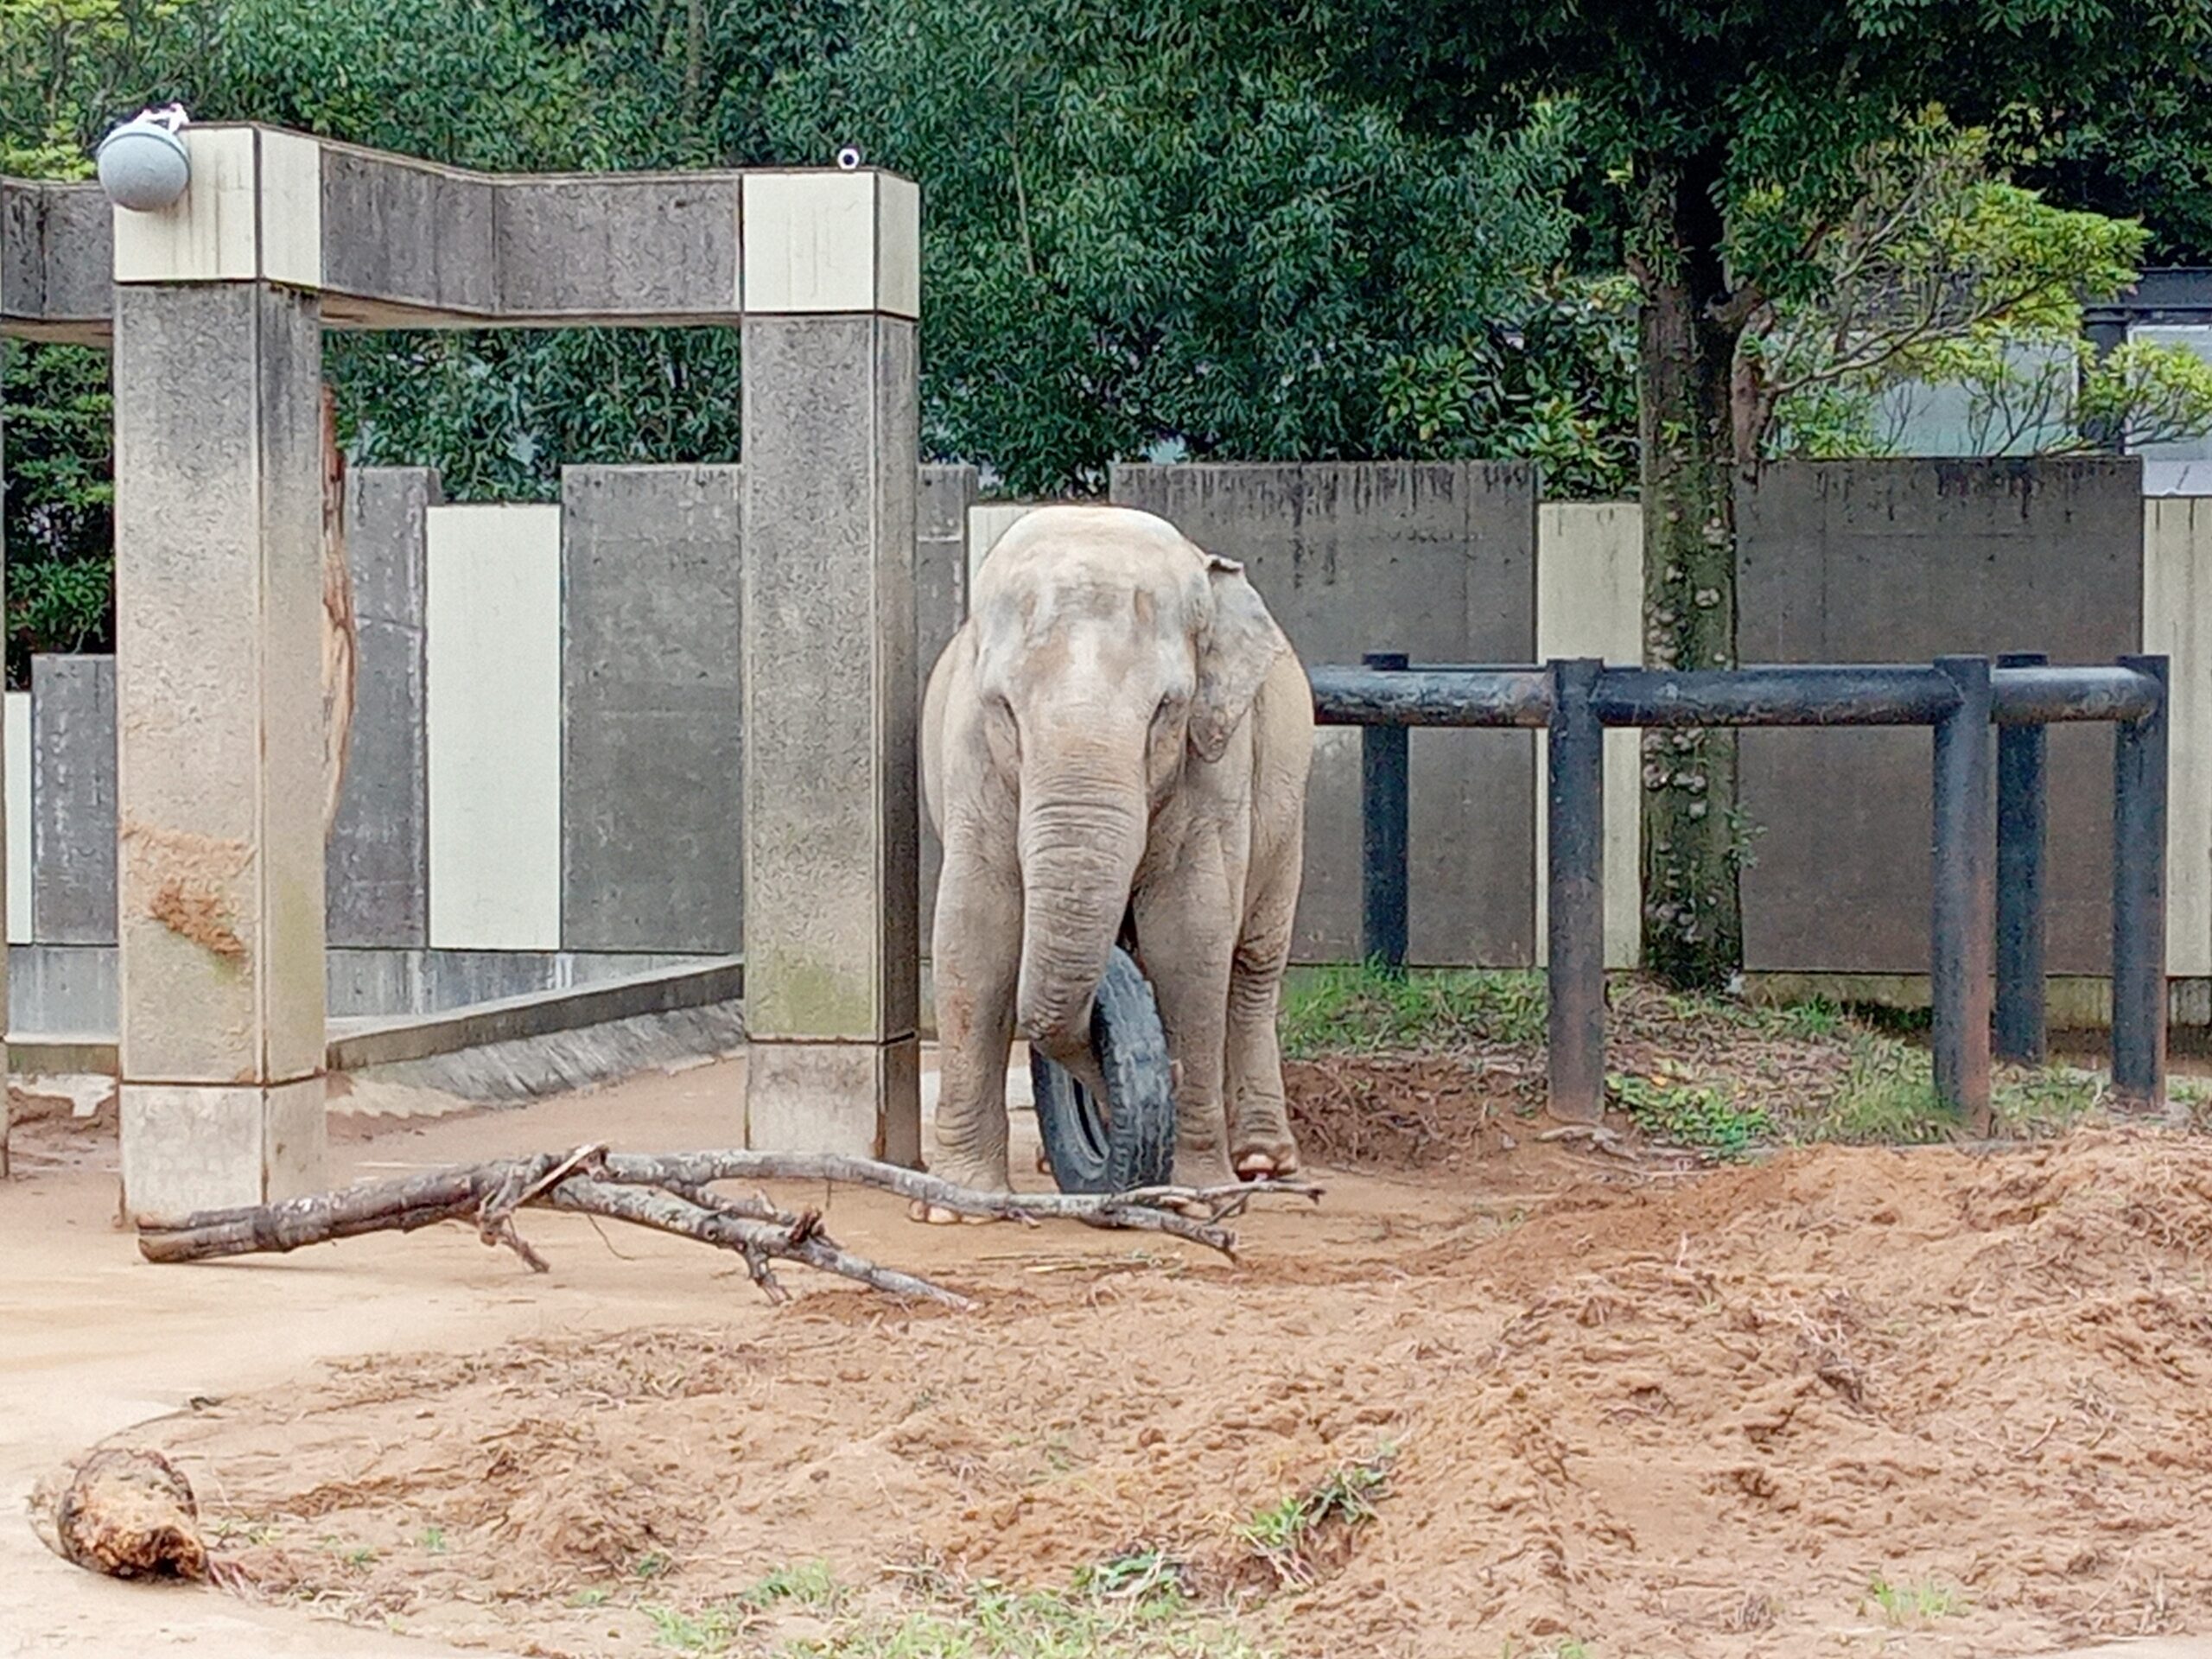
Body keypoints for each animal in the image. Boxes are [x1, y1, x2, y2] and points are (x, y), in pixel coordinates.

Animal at [915, 506, 1309, 1221]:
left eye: (1166, 709)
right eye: (1004, 708)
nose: (1156, 1075)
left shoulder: (1213, 758)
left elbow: (1190, 934)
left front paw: (1195, 1200)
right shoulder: (970, 758)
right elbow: (975, 931)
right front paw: (956, 1206)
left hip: (1289, 801)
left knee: (1253, 963)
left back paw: (1263, 1161)